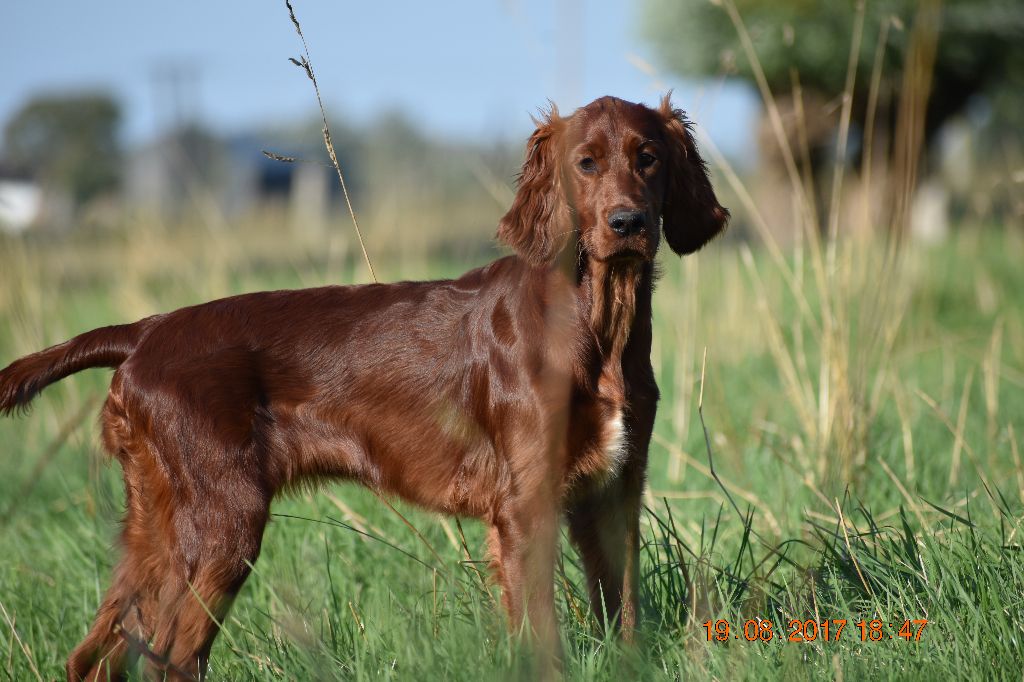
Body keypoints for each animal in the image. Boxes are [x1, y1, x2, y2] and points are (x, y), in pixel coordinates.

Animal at [0, 94, 729, 675]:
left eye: (648, 157)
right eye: (586, 163)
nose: (628, 224)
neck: (596, 325)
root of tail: (146, 330)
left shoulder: (614, 494)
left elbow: (625, 613)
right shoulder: (528, 505)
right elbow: (542, 635)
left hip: (160, 526)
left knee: (97, 654)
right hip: (221, 524)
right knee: (168, 657)